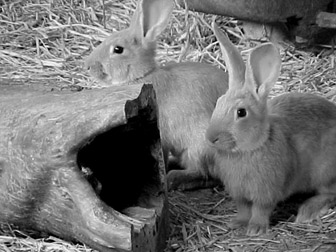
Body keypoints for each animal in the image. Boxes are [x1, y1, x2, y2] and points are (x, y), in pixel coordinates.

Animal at [84, 0, 228, 190]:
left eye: (118, 49)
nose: (88, 66)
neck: (142, 76)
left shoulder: (163, 137)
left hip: (200, 145)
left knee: (203, 174)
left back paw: (175, 178)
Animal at [206, 23, 336, 236]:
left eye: (241, 113)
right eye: (218, 102)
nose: (211, 137)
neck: (250, 148)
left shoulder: (267, 191)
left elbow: (261, 209)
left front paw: (255, 229)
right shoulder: (239, 193)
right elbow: (243, 208)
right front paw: (237, 223)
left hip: (324, 171)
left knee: (330, 193)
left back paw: (307, 211)